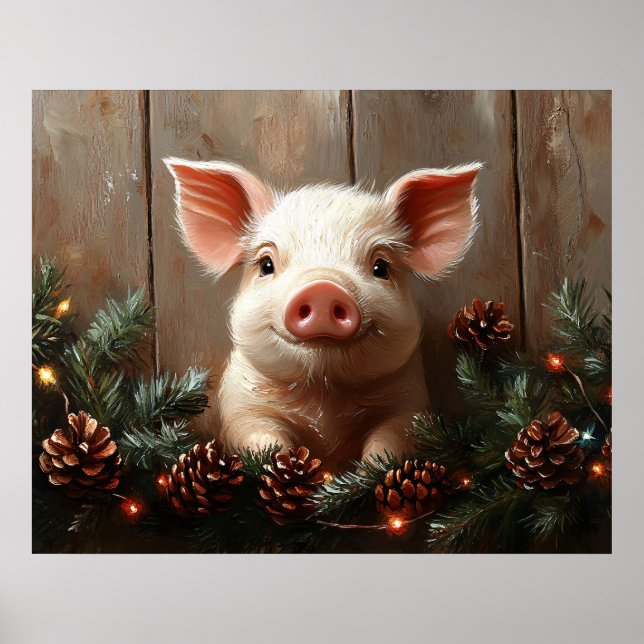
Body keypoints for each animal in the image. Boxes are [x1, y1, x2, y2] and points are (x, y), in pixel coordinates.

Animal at [165, 158, 481, 468]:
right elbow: (260, 436)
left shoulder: (409, 402)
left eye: (381, 267)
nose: (323, 288)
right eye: (266, 264)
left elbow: (390, 439)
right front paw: (282, 463)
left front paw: (367, 470)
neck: (322, 395)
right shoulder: (240, 405)